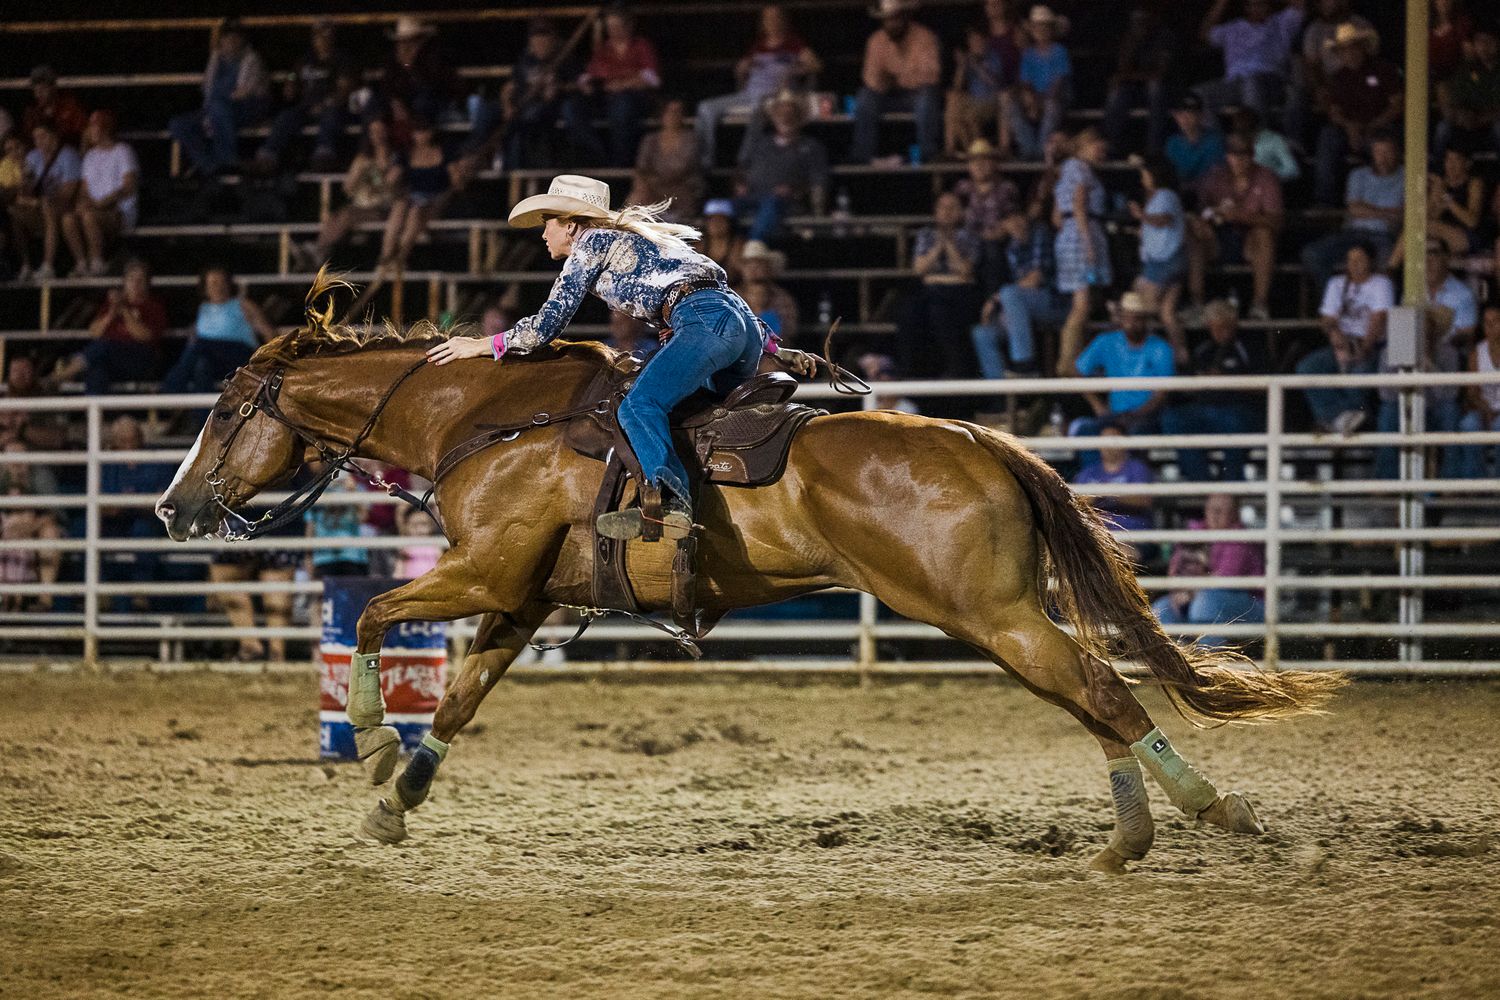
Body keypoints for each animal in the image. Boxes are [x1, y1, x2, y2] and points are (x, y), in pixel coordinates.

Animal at [155, 282, 1346, 872]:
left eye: (222, 409)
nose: (172, 507)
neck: (489, 419)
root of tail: (980, 438)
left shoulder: (481, 570)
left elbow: (372, 617)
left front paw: (364, 746)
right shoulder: (521, 595)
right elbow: (458, 696)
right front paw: (397, 800)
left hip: (990, 613)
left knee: (1100, 690)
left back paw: (1214, 815)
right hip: (998, 619)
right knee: (1091, 694)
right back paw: (1128, 841)